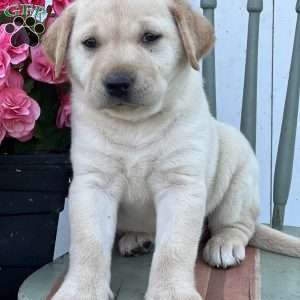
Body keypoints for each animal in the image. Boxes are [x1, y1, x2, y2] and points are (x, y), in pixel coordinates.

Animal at [42, 0, 300, 300]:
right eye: (90, 43)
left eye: (150, 37)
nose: (117, 82)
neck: (134, 125)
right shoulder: (93, 184)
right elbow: (89, 243)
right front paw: (82, 290)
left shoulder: (180, 185)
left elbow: (174, 248)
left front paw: (171, 291)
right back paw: (138, 238)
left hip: (238, 176)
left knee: (239, 225)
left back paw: (224, 244)